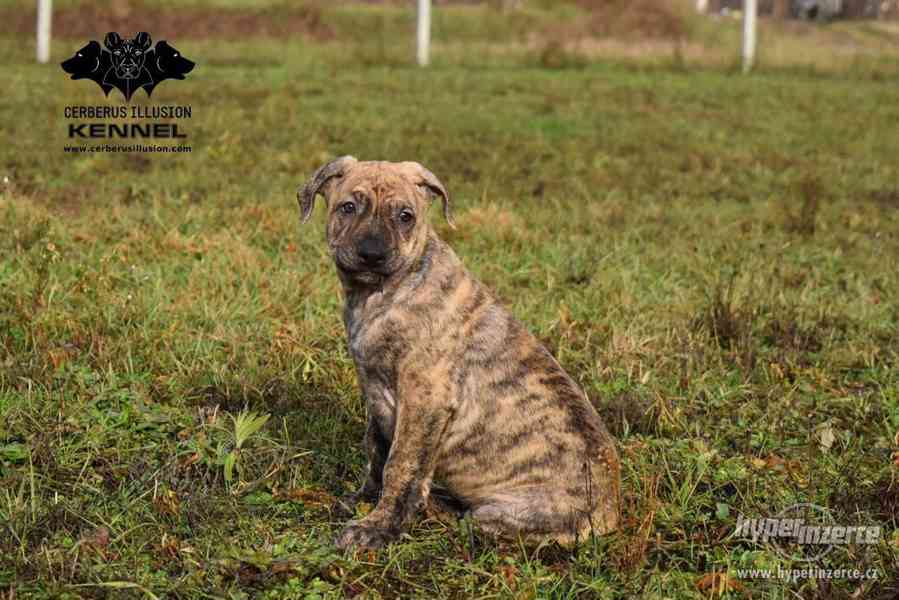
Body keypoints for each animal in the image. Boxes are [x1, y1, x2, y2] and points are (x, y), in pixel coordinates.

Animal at [298, 156, 624, 548]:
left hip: (497, 513)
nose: (372, 255)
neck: (384, 293)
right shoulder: (375, 393)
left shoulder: (424, 398)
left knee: (466, 520)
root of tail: (611, 511)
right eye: (348, 207)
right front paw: (364, 500)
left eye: (405, 216)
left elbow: (401, 464)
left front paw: (379, 527)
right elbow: (376, 450)